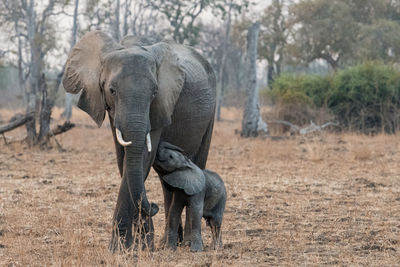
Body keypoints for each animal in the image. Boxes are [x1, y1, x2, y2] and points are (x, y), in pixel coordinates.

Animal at [63, 31, 216, 251]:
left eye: (154, 93)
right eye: (111, 90)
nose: (153, 206)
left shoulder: (161, 104)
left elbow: (143, 157)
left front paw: (123, 248)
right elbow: (124, 160)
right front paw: (138, 245)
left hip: (211, 113)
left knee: (197, 167)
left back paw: (186, 243)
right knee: (169, 183)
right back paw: (167, 242)